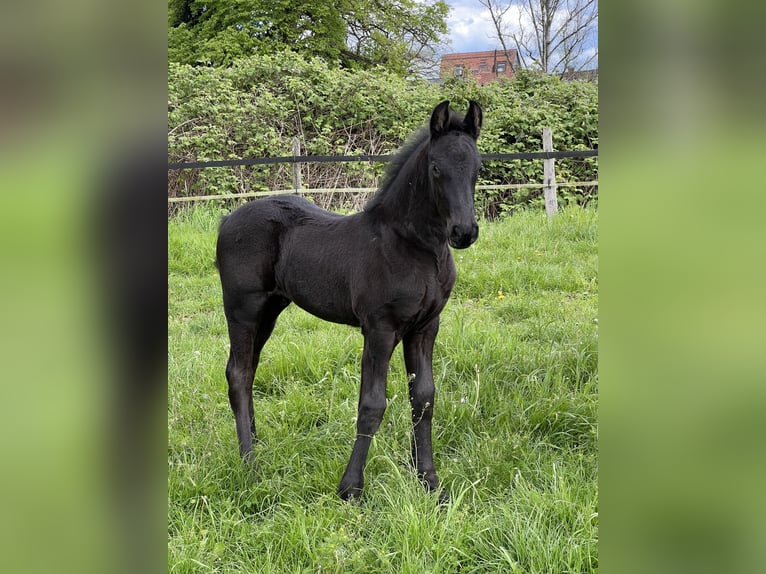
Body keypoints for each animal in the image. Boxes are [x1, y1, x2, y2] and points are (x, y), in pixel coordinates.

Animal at [216, 101, 484, 502]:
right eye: (437, 168)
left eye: (478, 168)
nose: (464, 232)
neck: (411, 246)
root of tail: (227, 219)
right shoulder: (379, 329)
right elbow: (372, 404)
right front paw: (351, 488)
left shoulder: (425, 327)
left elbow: (423, 398)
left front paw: (429, 481)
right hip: (243, 309)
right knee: (238, 373)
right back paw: (250, 463)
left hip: (270, 311)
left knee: (248, 371)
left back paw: (256, 445)